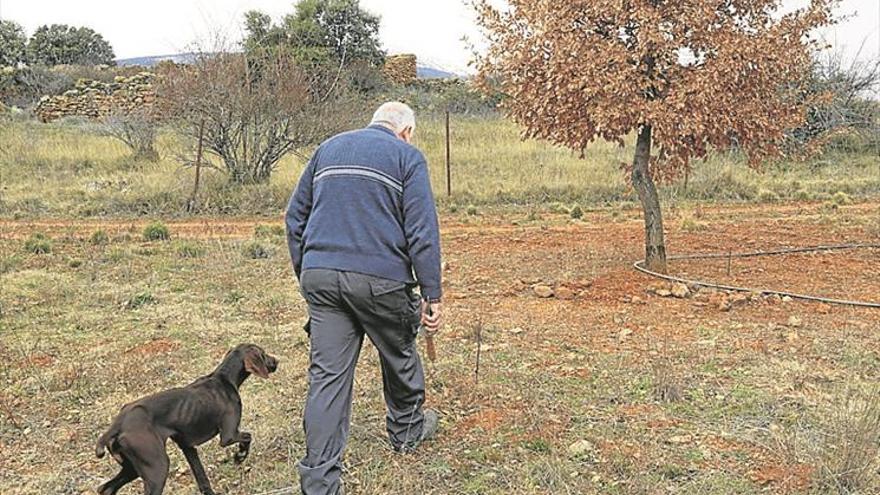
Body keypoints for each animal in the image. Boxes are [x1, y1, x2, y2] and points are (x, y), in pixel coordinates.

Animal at [95, 344, 278, 495]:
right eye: (263, 354)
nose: (277, 360)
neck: (224, 378)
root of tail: (118, 424)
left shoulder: (188, 447)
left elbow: (202, 479)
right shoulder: (228, 436)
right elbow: (248, 437)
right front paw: (240, 456)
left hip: (132, 468)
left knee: (106, 488)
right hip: (157, 467)